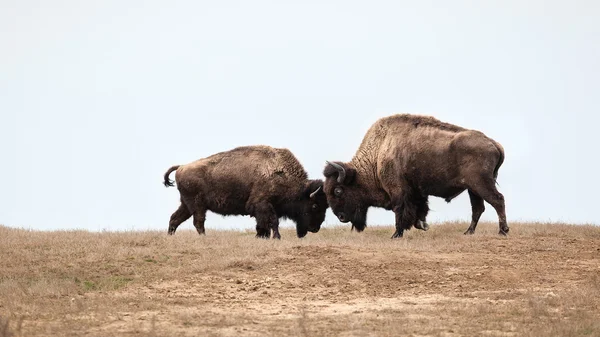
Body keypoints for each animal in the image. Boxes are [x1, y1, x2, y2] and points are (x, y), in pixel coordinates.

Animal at [163, 145, 328, 239]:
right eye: (314, 206)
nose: (315, 228)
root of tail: (182, 166)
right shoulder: (262, 205)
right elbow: (273, 221)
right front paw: (276, 237)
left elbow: (262, 224)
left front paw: (261, 237)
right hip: (197, 206)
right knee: (198, 222)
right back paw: (204, 237)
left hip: (186, 204)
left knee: (175, 218)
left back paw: (170, 236)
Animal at [322, 114, 508, 238]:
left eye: (338, 190)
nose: (341, 217)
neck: (379, 153)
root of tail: (494, 144)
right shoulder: (417, 192)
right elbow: (419, 210)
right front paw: (423, 225)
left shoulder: (398, 191)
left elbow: (400, 210)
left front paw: (396, 234)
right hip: (473, 189)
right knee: (478, 208)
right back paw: (468, 232)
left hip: (481, 184)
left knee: (497, 200)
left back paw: (502, 231)